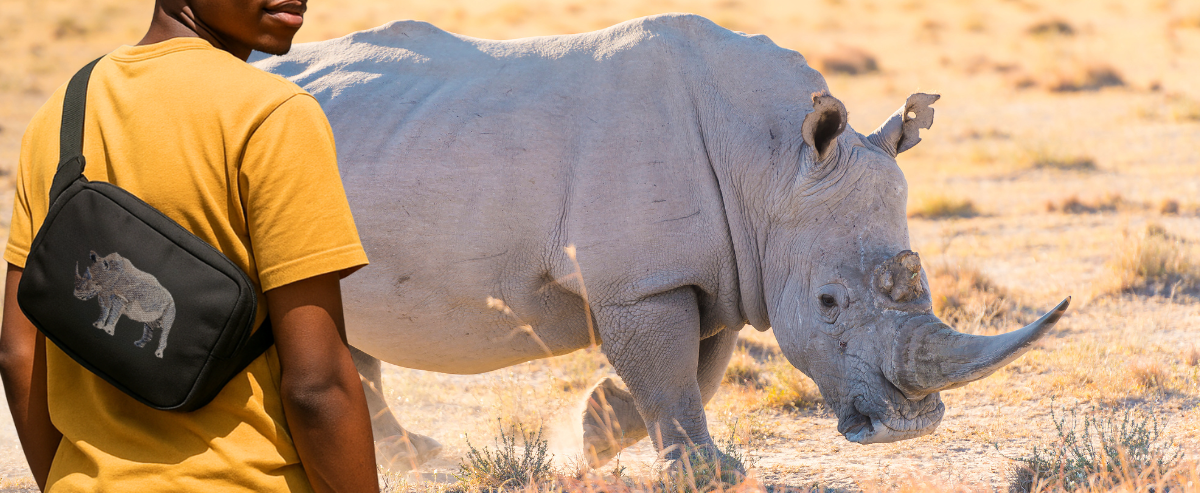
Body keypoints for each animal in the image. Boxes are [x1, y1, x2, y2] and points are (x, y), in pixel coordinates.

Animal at [252, 14, 1069, 471]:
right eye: (829, 303)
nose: (908, 429)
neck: (771, 163)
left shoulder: (716, 270)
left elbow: (696, 371)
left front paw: (597, 436)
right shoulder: (642, 281)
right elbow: (672, 375)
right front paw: (707, 474)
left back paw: (413, 455)